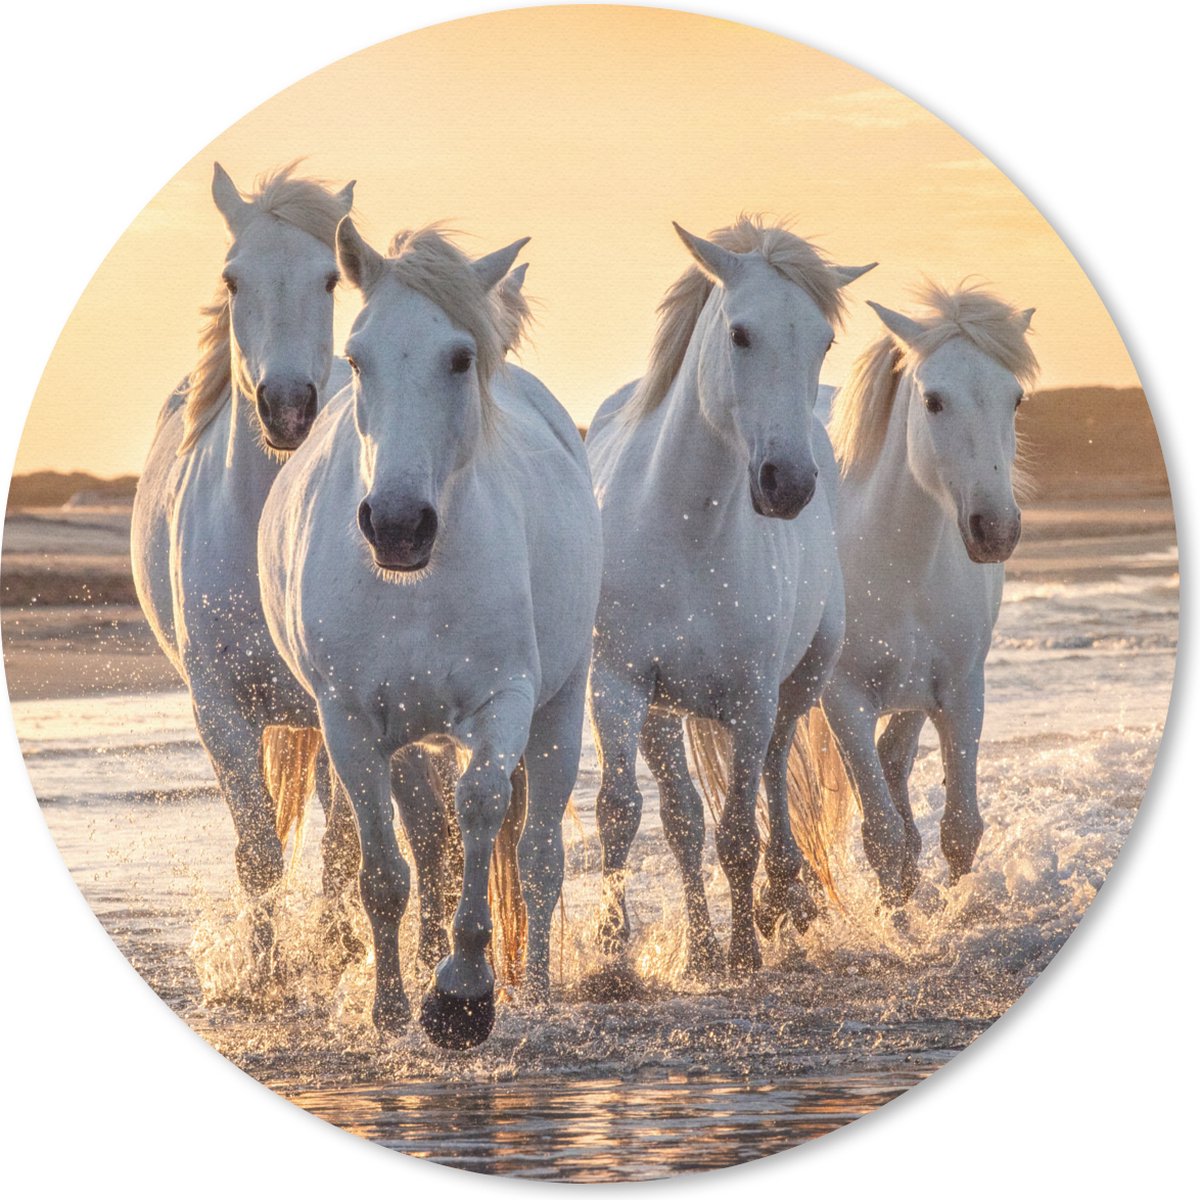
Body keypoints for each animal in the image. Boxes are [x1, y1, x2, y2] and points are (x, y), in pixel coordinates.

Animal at [130, 163, 358, 964]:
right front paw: (263, 974)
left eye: (330, 279)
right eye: (233, 279)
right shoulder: (219, 712)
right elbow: (258, 853)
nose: (287, 408)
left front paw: (338, 956)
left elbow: (344, 848)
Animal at [258, 220, 602, 1047]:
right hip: (413, 740)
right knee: (430, 849)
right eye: (357, 357)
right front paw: (391, 1010)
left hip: (560, 709)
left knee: (539, 858)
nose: (396, 525)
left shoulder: (506, 702)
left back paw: (537, 991)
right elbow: (386, 871)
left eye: (460, 357)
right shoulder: (349, 722)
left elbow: (481, 808)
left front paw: (462, 994)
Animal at [586, 216, 874, 976]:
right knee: (683, 818)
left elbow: (741, 828)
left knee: (773, 776)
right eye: (740, 334)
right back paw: (702, 947)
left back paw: (781, 899)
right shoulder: (618, 684)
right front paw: (613, 959)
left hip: (798, 683)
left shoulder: (750, 697)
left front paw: (746, 947)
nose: (788, 484)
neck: (686, 528)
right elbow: (623, 813)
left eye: (822, 340)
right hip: (663, 711)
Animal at [817, 284, 1037, 905]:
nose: (996, 530)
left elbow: (961, 828)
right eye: (934, 401)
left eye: (1014, 399)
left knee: (895, 759)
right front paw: (900, 924)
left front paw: (951, 913)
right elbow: (883, 839)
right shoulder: (843, 702)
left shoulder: (961, 691)